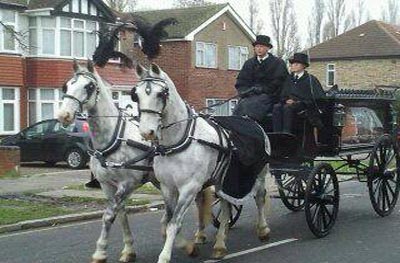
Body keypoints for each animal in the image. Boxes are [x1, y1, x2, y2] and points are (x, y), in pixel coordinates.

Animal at [57, 59, 155, 263]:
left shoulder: (127, 184)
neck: (114, 138)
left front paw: (100, 252)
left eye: (89, 86)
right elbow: (122, 213)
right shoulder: (107, 185)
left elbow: (108, 216)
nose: (64, 115)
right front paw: (128, 250)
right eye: (67, 85)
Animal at [133, 64, 270, 263]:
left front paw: (165, 256)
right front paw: (189, 247)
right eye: (136, 94)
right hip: (224, 181)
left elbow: (173, 223)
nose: (146, 132)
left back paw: (263, 229)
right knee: (226, 209)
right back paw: (220, 245)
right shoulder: (168, 187)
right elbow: (168, 221)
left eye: (161, 94)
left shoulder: (189, 188)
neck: (179, 140)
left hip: (259, 174)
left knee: (259, 198)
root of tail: (249, 119)